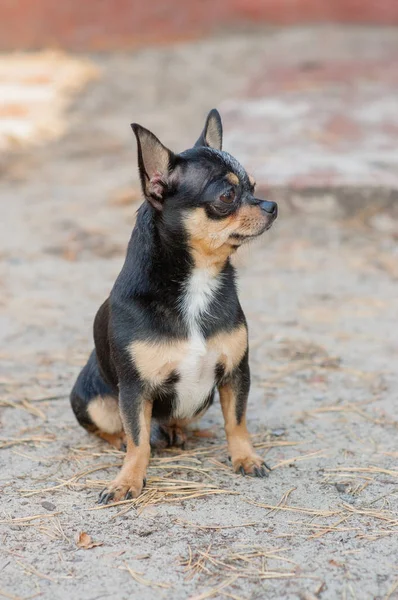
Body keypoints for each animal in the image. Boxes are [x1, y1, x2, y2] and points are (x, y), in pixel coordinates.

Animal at [70, 110, 276, 504]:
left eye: (254, 186)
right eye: (227, 195)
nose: (272, 206)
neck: (198, 280)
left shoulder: (235, 374)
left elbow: (237, 421)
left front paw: (245, 457)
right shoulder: (134, 390)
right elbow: (138, 441)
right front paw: (128, 480)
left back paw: (180, 431)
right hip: (90, 400)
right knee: (117, 429)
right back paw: (121, 440)